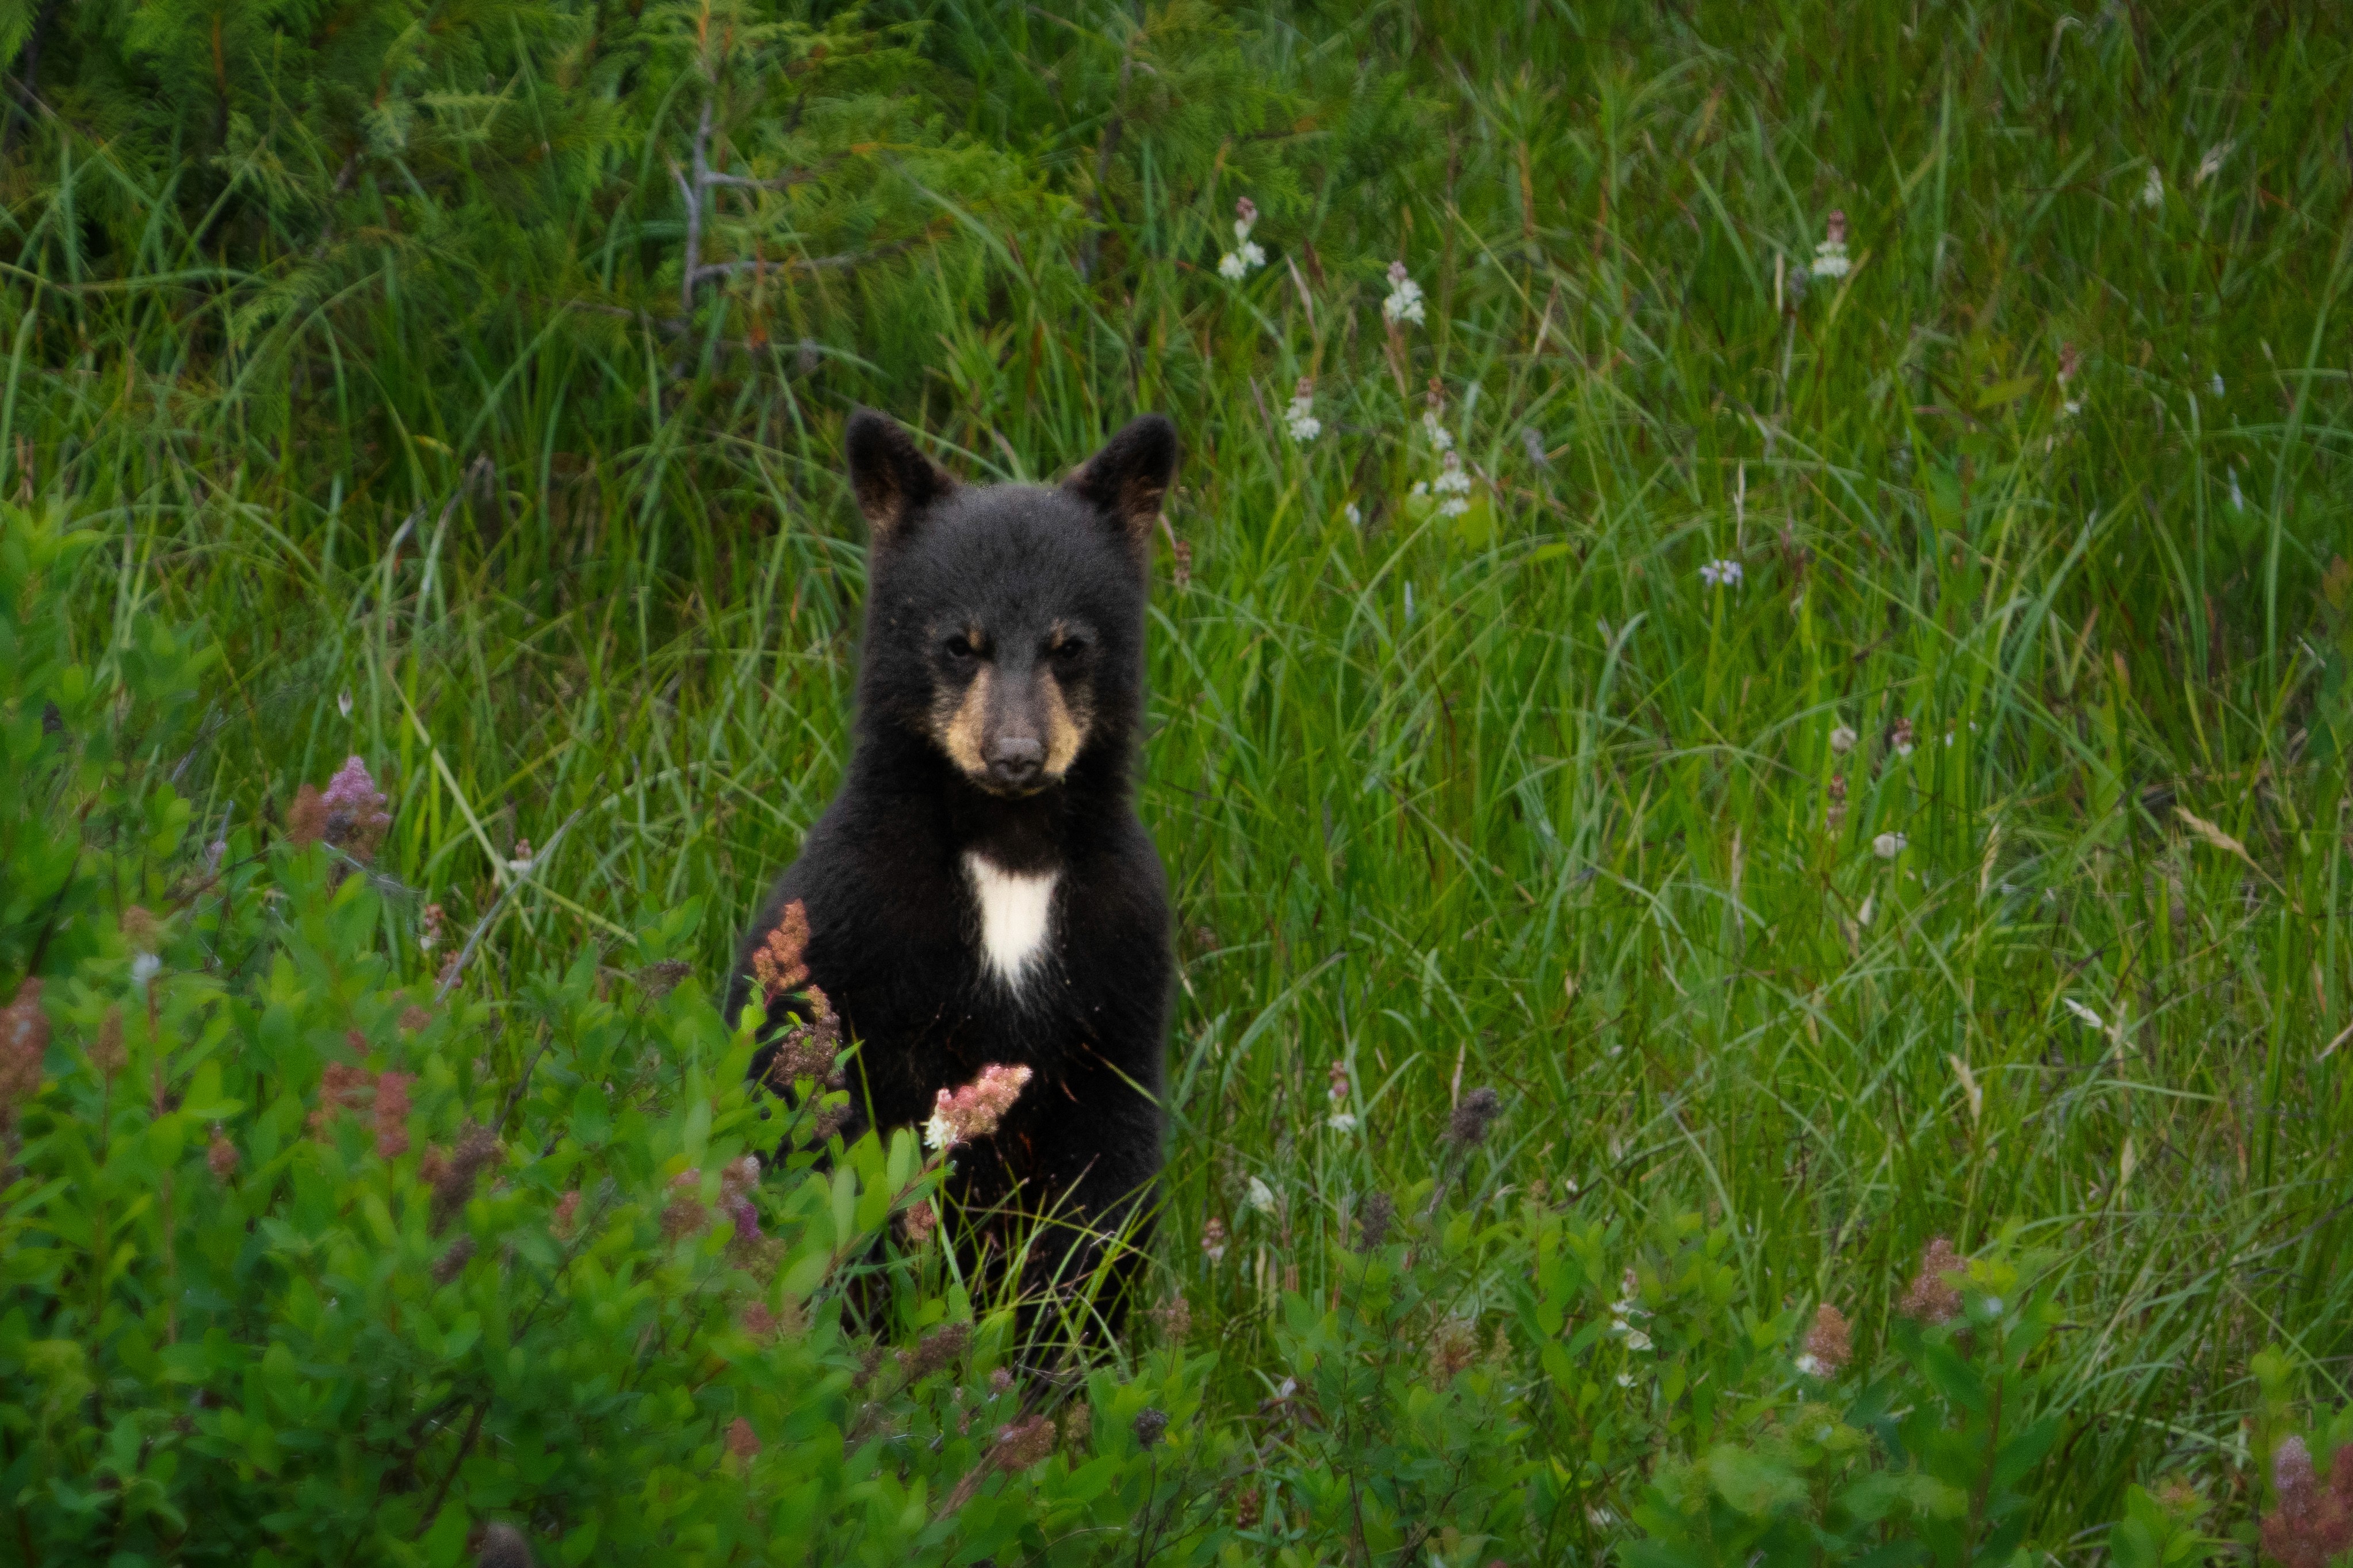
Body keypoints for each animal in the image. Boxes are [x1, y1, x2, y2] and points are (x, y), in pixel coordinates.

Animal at [727, 407, 1177, 1330]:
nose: (1016, 754)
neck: (1009, 846)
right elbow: (834, 1134)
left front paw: (1064, 1336)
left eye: (1068, 645)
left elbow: (1103, 1175)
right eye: (959, 644)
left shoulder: (1120, 940)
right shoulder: (859, 920)